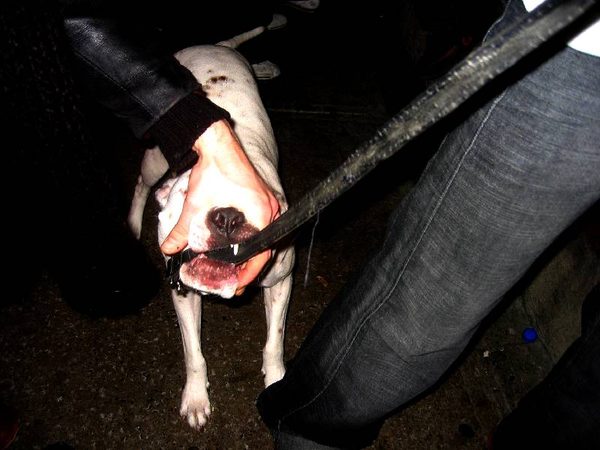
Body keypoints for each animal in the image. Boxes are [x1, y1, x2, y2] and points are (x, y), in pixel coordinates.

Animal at [127, 29, 295, 430]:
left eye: (259, 202)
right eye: (189, 195)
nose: (227, 218)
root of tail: (214, 46)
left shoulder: (282, 281)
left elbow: (274, 340)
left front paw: (276, 381)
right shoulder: (183, 292)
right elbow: (194, 353)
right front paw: (195, 397)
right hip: (155, 157)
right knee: (141, 185)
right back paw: (133, 220)